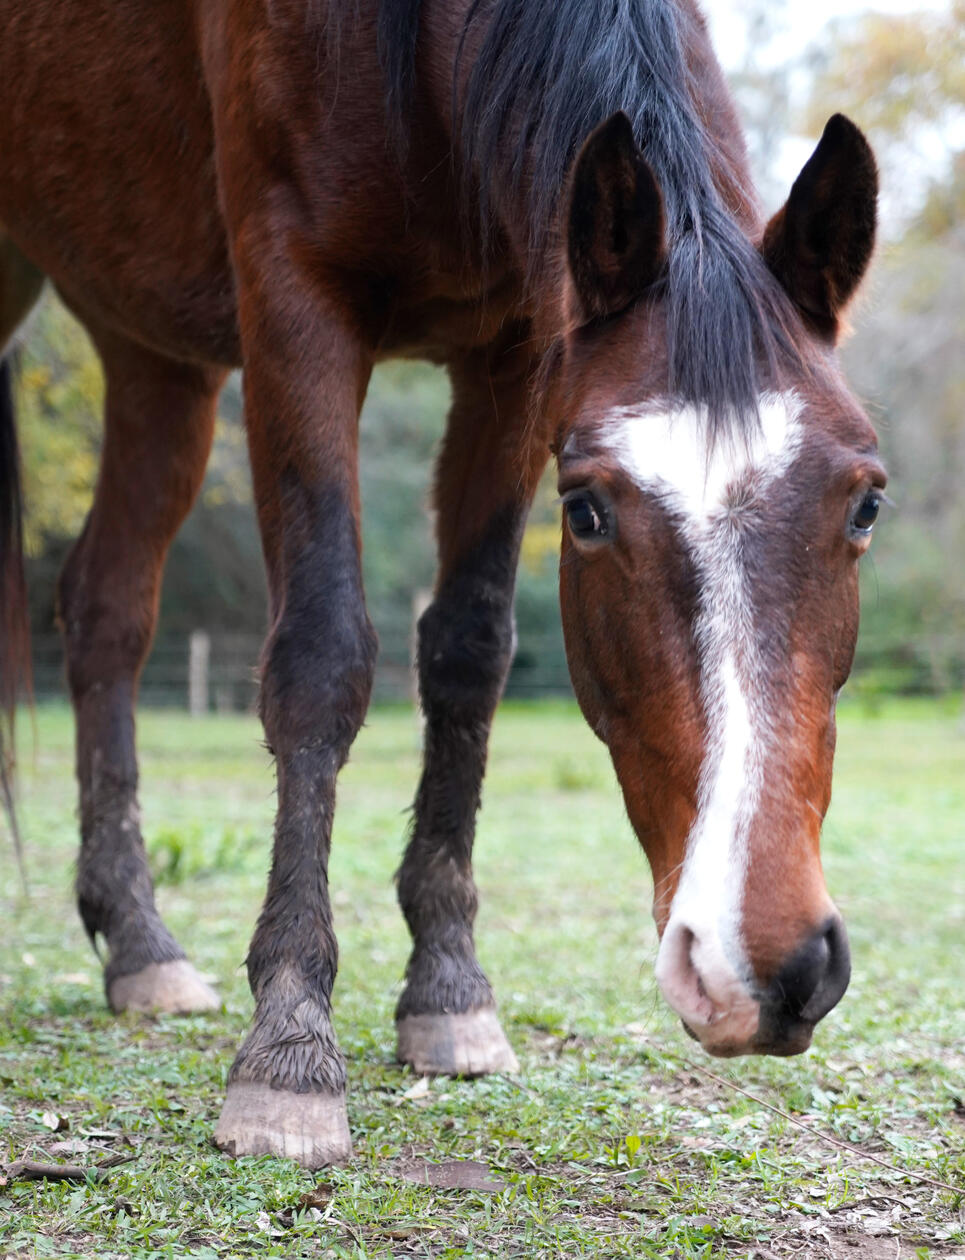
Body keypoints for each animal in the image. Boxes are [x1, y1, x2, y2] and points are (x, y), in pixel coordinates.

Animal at [0, 0, 885, 1167]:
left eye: (863, 504)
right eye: (587, 512)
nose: (770, 968)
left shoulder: (515, 350)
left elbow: (468, 650)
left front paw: (448, 993)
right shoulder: (294, 305)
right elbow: (322, 653)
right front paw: (288, 1047)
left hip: (155, 353)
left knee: (107, 610)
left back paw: (140, 945)